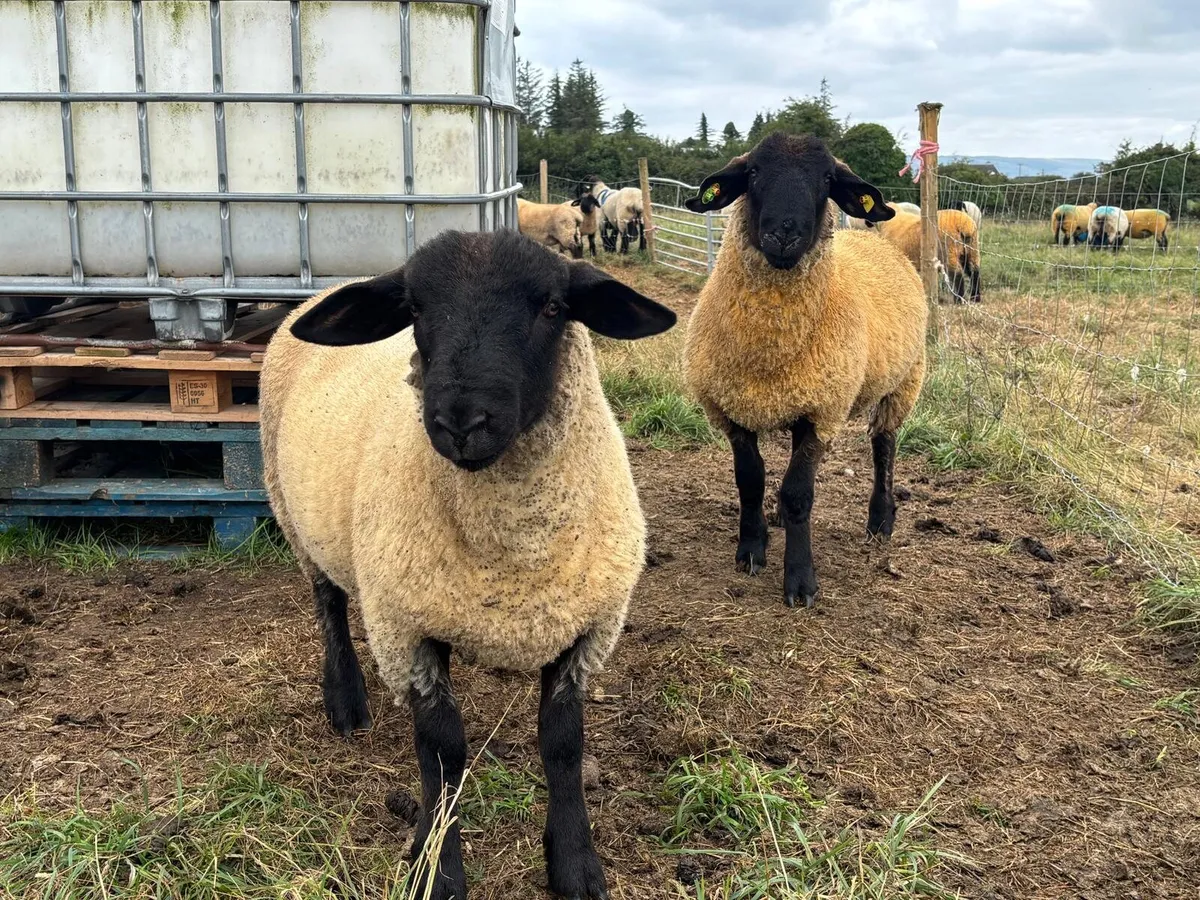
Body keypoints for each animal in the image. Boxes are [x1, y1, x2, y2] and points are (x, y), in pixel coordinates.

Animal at [259, 229, 676, 900]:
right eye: (415, 307)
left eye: (552, 307)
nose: (461, 421)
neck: (515, 550)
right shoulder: (407, 628)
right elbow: (442, 753)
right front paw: (440, 869)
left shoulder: (587, 628)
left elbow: (563, 745)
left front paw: (575, 865)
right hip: (296, 515)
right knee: (329, 604)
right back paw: (346, 701)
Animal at [682, 133, 927, 609]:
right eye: (753, 171)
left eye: (827, 179)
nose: (784, 233)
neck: (769, 350)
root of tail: (875, 239)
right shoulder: (732, 408)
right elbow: (750, 481)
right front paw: (751, 550)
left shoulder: (823, 412)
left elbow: (799, 495)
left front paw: (799, 581)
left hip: (904, 382)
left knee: (884, 445)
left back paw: (881, 521)